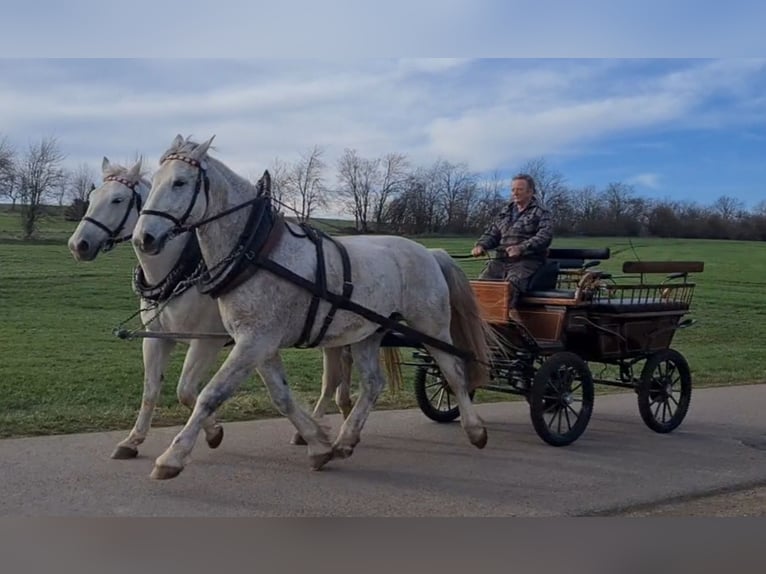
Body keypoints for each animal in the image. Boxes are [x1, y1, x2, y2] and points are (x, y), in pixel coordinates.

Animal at [135, 136, 500, 482]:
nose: (144, 238)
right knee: (373, 383)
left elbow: (211, 394)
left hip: (431, 325)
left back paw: (475, 429)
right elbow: (281, 396)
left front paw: (172, 457)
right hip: (369, 332)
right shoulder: (257, 344)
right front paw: (317, 444)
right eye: (153, 182)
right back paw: (345, 440)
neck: (255, 251)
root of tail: (429, 251)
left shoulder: (254, 341)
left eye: (180, 182)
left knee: (453, 370)